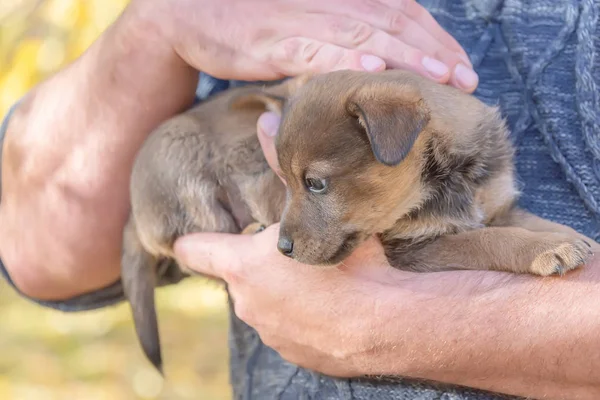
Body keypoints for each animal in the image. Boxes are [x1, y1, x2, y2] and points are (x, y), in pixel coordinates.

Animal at [123, 69, 596, 376]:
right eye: (285, 182)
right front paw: (544, 250)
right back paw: (247, 229)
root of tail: (132, 214)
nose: (282, 249)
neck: (448, 177)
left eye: (315, 183)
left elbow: (536, 221)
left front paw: (574, 239)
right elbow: (490, 240)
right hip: (183, 164)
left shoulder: (498, 204)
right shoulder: (416, 247)